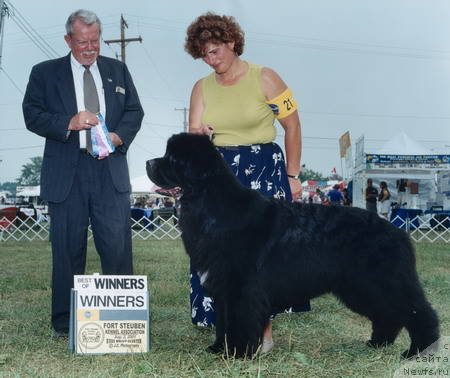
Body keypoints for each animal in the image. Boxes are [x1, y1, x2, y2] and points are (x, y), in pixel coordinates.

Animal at [147, 134, 440, 358]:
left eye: (173, 159)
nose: (149, 162)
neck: (211, 206)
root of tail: (397, 231)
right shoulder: (223, 288)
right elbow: (224, 322)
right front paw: (219, 349)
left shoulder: (241, 288)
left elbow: (239, 322)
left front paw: (239, 353)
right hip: (360, 287)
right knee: (388, 314)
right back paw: (377, 343)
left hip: (383, 281)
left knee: (418, 311)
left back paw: (419, 350)